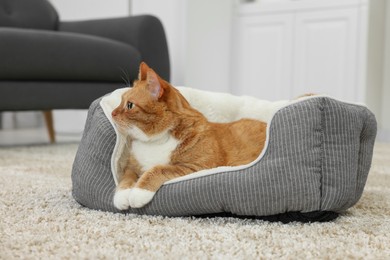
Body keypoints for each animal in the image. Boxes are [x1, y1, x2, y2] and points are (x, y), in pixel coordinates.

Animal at [111, 62, 266, 209]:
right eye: (121, 100)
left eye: (129, 105)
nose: (112, 113)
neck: (155, 140)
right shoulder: (130, 167)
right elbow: (126, 178)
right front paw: (122, 196)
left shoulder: (197, 167)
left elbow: (158, 169)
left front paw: (138, 192)